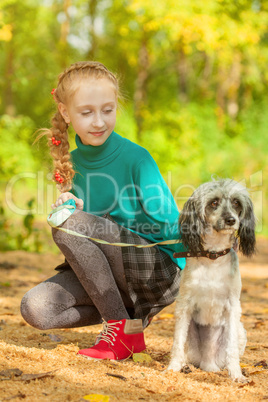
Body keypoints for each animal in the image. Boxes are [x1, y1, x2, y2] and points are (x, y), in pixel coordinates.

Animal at [168, 180, 255, 384]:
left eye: (236, 202)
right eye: (214, 203)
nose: (231, 220)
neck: (213, 257)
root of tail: (207, 361)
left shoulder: (233, 307)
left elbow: (232, 351)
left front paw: (236, 374)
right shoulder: (184, 305)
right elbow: (177, 343)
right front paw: (173, 367)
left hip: (240, 331)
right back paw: (185, 366)